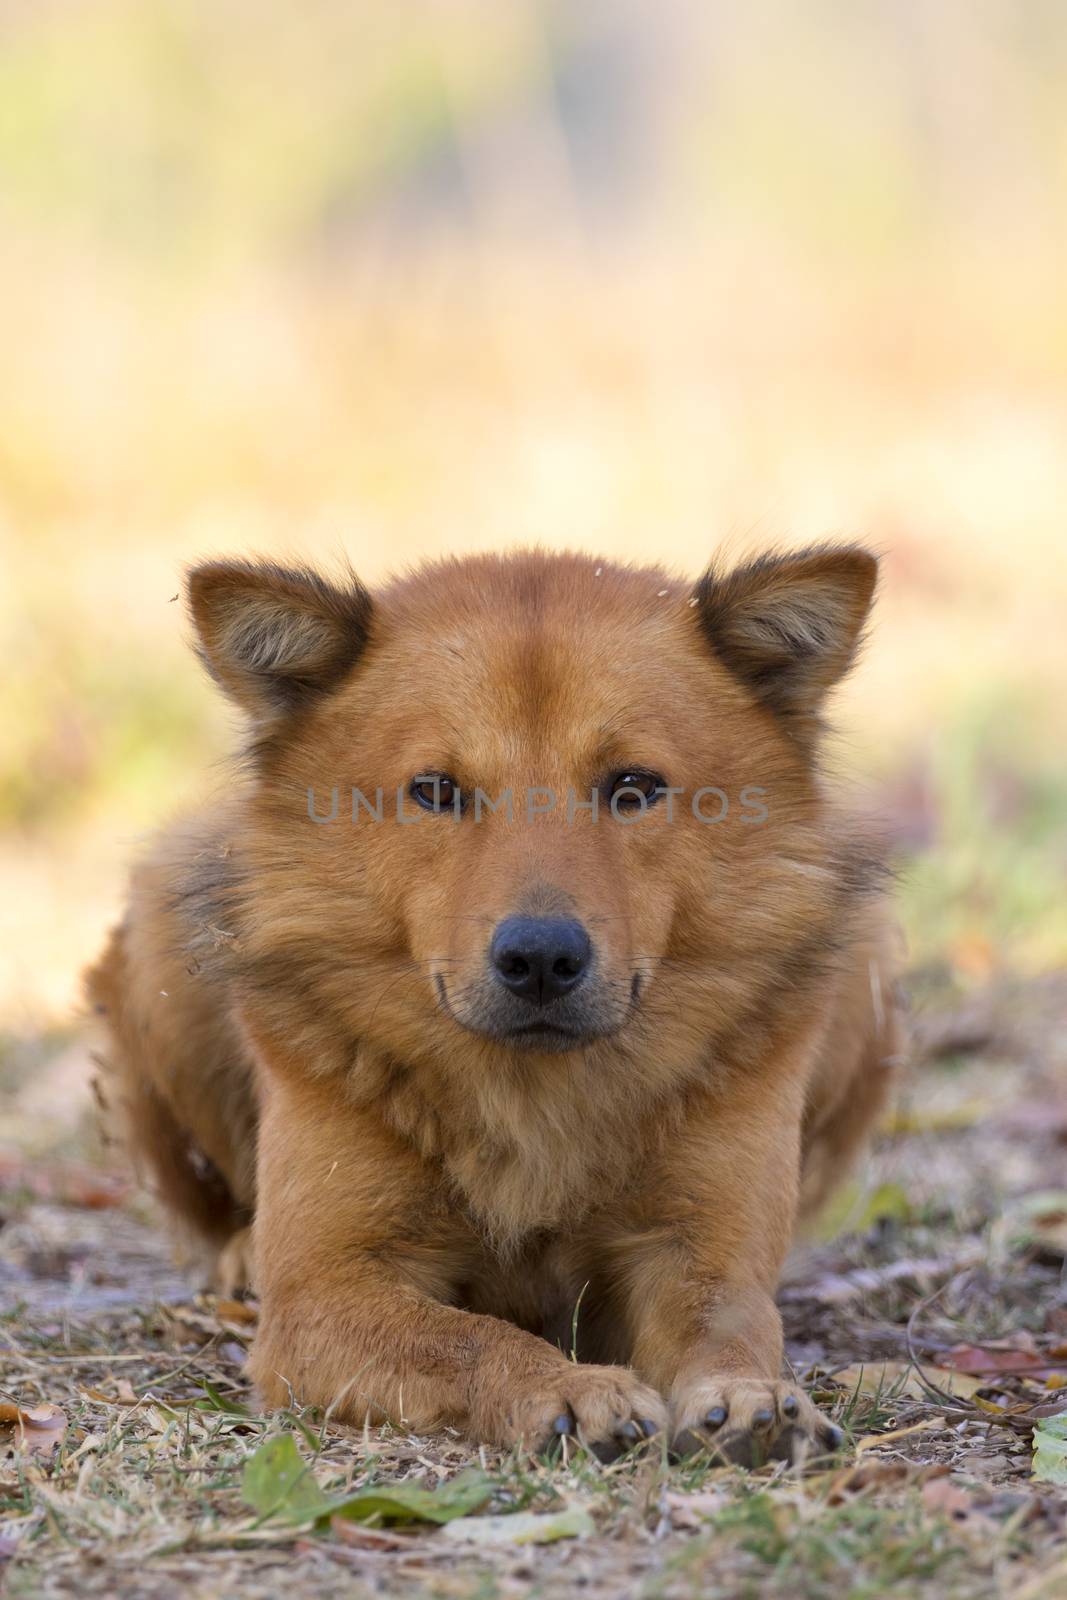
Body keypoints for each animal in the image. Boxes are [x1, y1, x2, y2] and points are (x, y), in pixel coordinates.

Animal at [87, 547, 902, 1465]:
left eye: (633, 786)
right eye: (436, 790)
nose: (540, 958)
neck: (532, 1094)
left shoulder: (697, 1248)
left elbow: (726, 1321)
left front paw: (750, 1396)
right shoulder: (321, 1293)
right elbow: (466, 1338)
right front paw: (568, 1387)